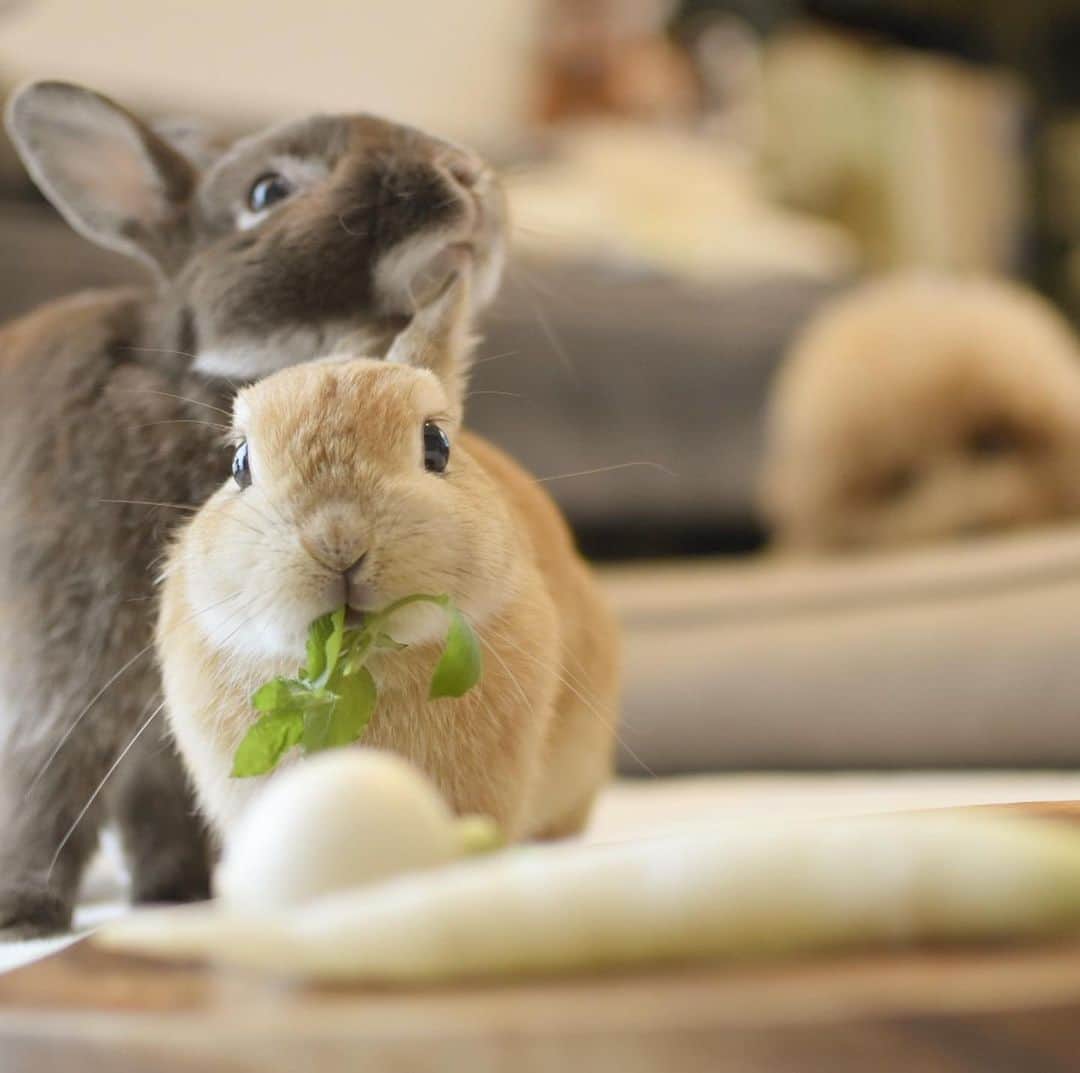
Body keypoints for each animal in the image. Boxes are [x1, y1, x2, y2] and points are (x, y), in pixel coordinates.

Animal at [0, 80, 506, 936]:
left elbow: (162, 799)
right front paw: (24, 912)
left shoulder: (163, 724)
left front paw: (180, 894)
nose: (467, 173)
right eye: (268, 193)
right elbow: (47, 772)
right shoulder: (60, 674)